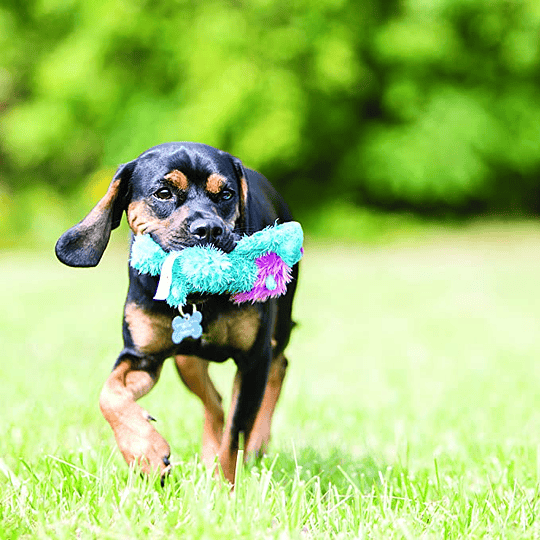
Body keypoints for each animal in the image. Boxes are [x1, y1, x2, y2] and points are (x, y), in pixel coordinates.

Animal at [55, 141, 300, 484]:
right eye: (163, 193)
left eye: (226, 194)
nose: (208, 228)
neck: (200, 296)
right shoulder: (142, 356)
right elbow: (109, 395)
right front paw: (145, 452)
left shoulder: (253, 358)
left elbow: (236, 434)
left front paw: (224, 489)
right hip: (187, 360)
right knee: (216, 404)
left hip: (278, 327)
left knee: (278, 369)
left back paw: (257, 444)